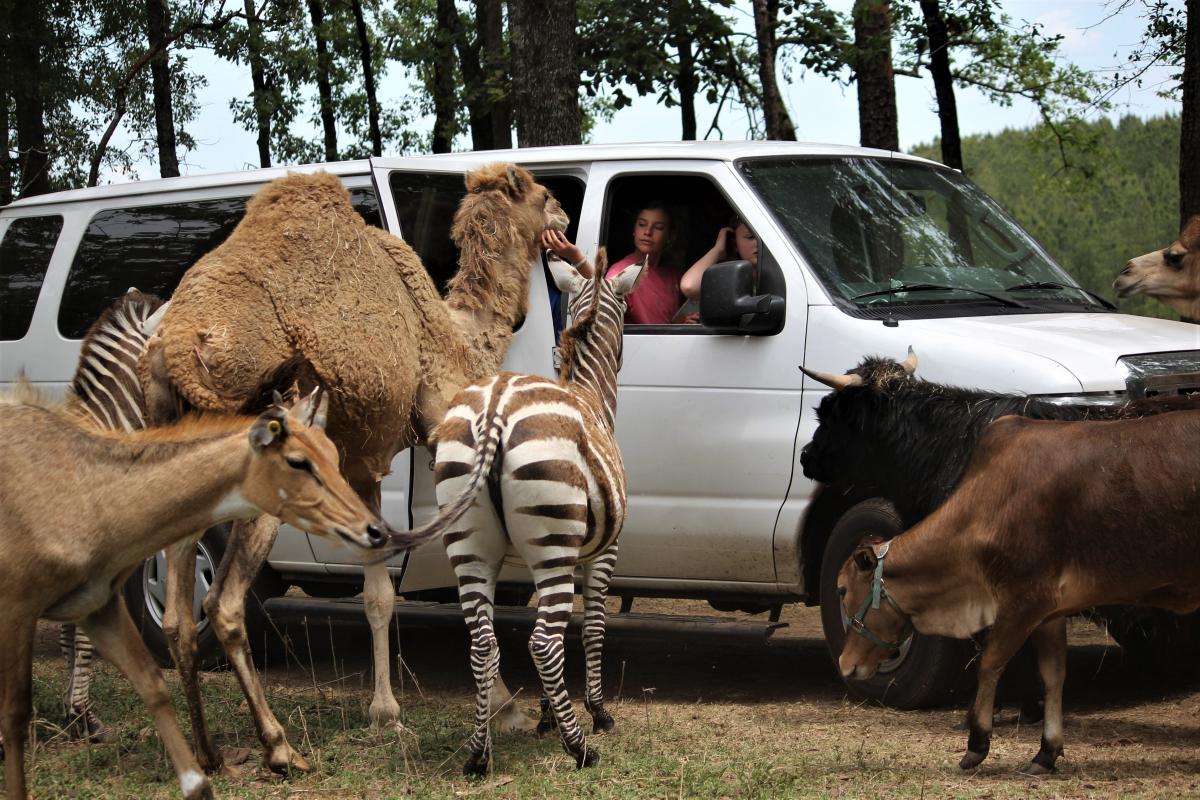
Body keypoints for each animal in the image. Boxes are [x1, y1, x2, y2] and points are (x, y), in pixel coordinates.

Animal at [0, 383, 384, 800]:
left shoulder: (100, 600)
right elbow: (15, 714)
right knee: (207, 608)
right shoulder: (18, 608)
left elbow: (156, 676)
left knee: (177, 622)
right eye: (298, 461)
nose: (374, 529)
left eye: (333, 452)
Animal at [138, 164, 568, 777]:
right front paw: (502, 709)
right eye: (544, 193)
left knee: (176, 614)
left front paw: (385, 712)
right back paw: (279, 747)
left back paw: (208, 753)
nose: (564, 217)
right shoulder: (432, 429)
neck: (454, 334)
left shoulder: (364, 461)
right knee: (221, 603)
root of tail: (174, 347)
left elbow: (377, 594)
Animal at [388, 251, 643, 777]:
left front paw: (547, 713)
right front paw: (596, 712)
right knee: (543, 643)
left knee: (483, 645)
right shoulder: (600, 552)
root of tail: (494, 409)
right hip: (549, 546)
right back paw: (580, 749)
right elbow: (590, 628)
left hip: (472, 544)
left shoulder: (540, 558)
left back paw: (478, 754)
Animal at [840, 410, 1195, 772]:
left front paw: (977, 743)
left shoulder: (1024, 600)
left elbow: (990, 662)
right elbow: (1053, 675)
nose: (844, 663)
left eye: (842, 589)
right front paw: (1046, 752)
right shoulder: (1050, 613)